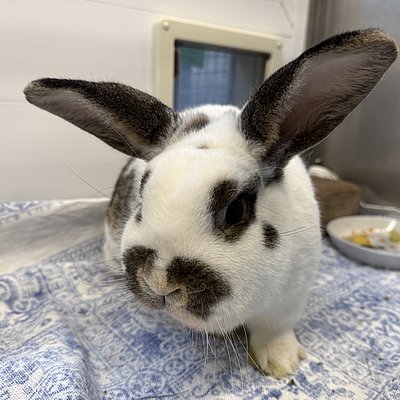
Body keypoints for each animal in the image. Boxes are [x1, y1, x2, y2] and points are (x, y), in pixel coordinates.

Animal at [24, 28, 397, 377]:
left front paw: (282, 364)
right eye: (140, 200)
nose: (159, 283)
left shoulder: (289, 298)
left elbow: (274, 331)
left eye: (235, 210)